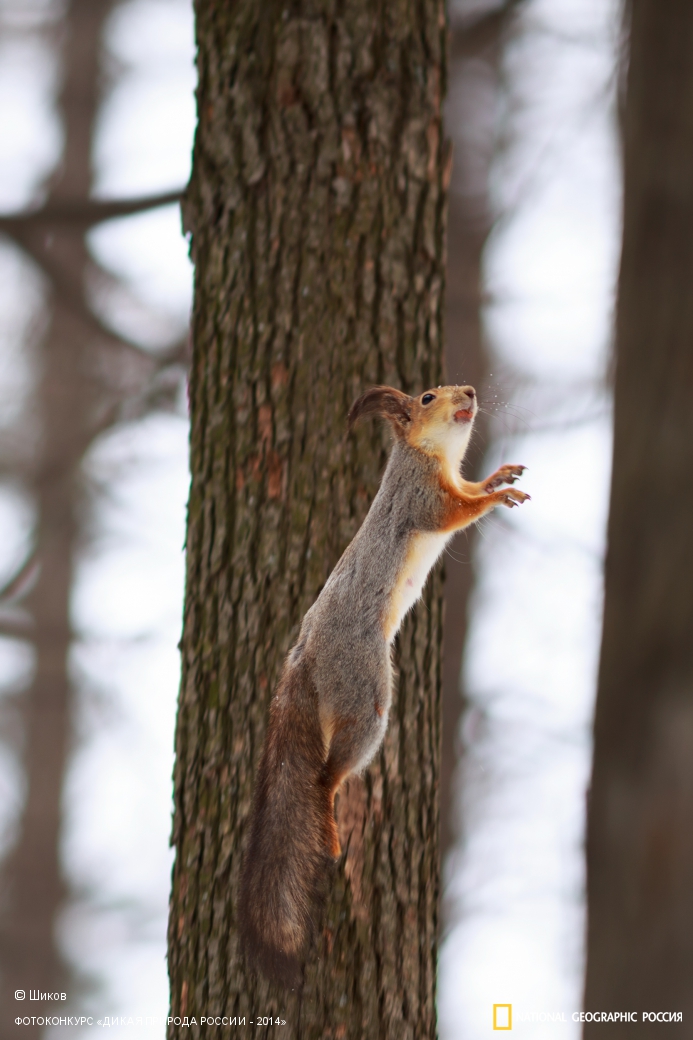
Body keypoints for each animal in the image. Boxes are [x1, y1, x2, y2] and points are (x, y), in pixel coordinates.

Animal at [235, 382, 526, 981]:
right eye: (427, 396)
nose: (469, 392)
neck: (434, 455)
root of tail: (303, 657)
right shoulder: (420, 499)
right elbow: (455, 510)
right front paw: (496, 497)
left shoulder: (450, 479)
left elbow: (469, 488)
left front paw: (498, 477)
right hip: (365, 692)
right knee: (324, 778)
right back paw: (328, 826)